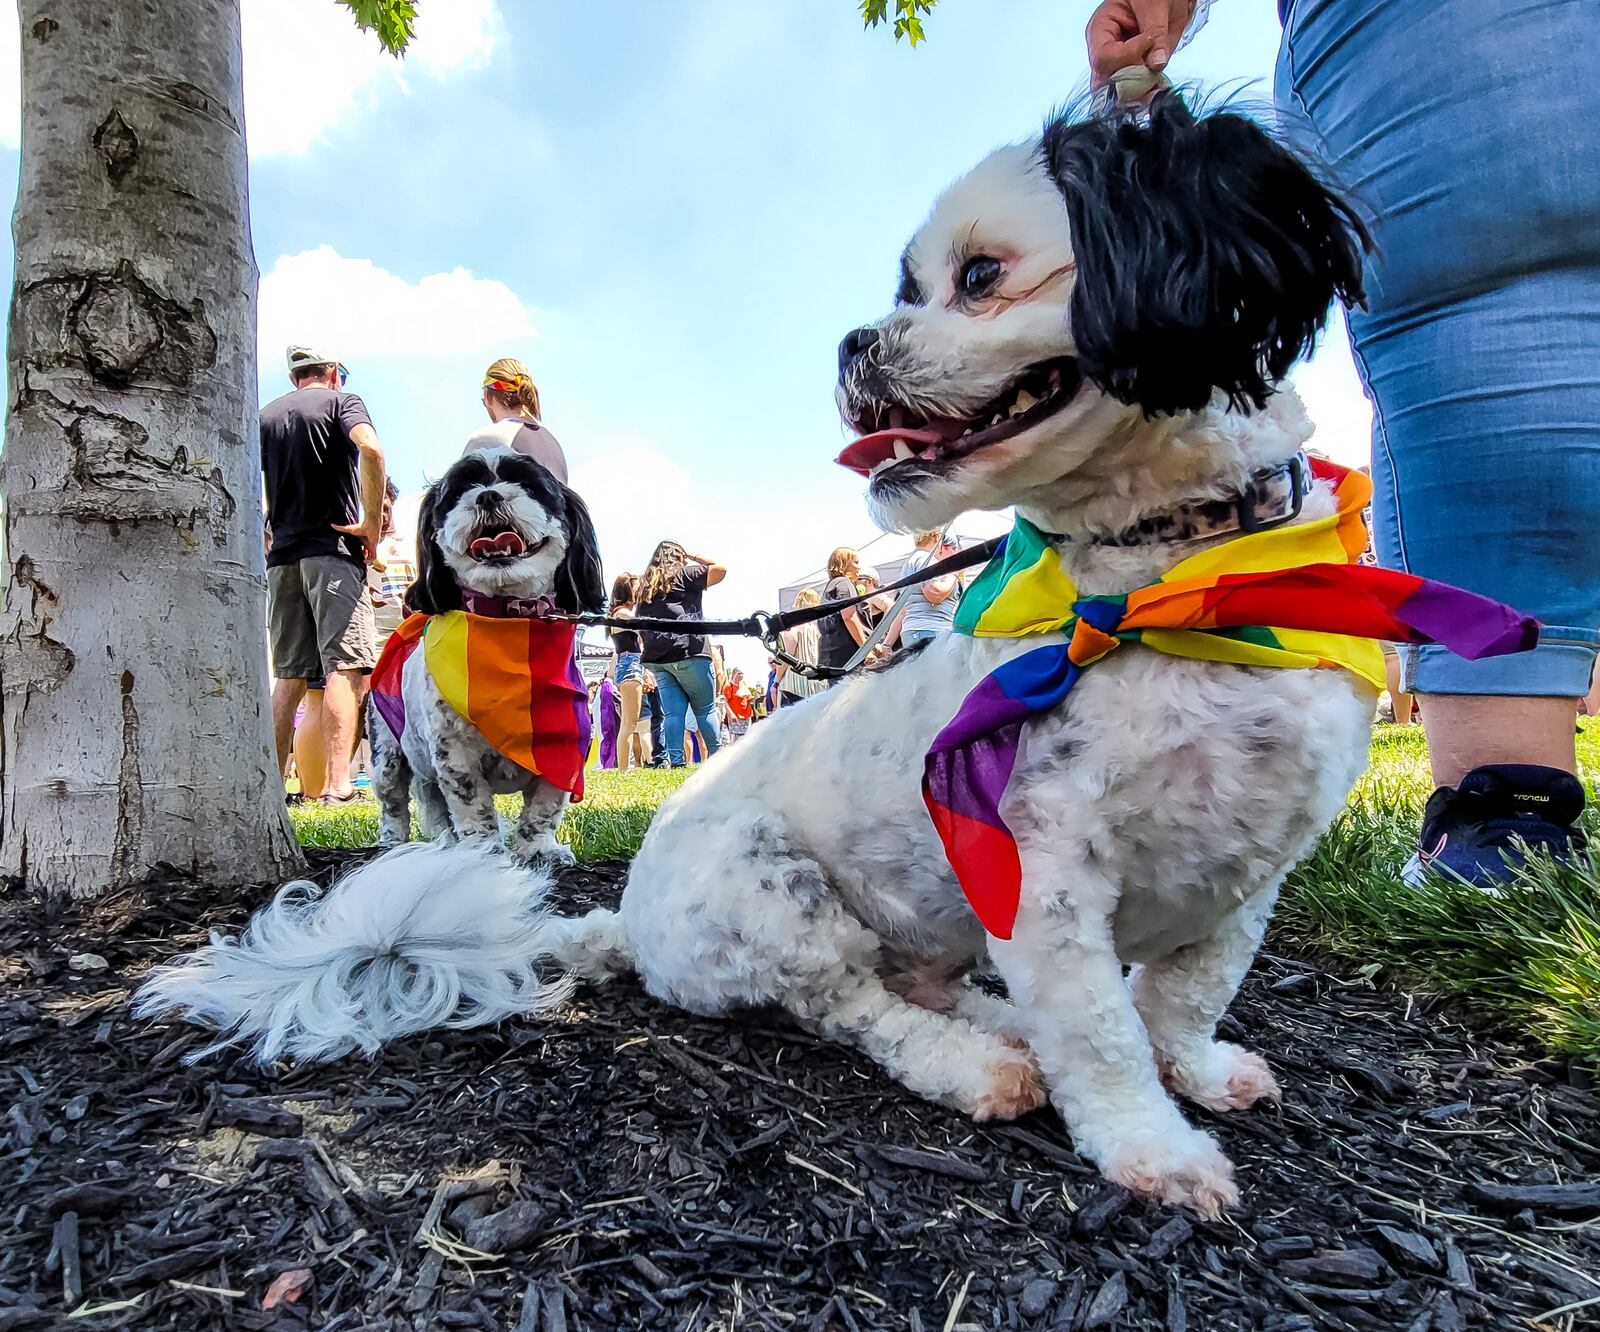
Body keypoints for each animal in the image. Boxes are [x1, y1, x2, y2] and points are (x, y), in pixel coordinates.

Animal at [368, 448, 604, 864]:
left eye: (528, 484)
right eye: (460, 491)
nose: (488, 496)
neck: (509, 620)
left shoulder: (562, 750)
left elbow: (544, 808)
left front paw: (539, 850)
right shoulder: (455, 755)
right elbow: (473, 807)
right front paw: (481, 855)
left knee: (434, 807)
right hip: (386, 750)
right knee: (393, 800)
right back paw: (393, 843)